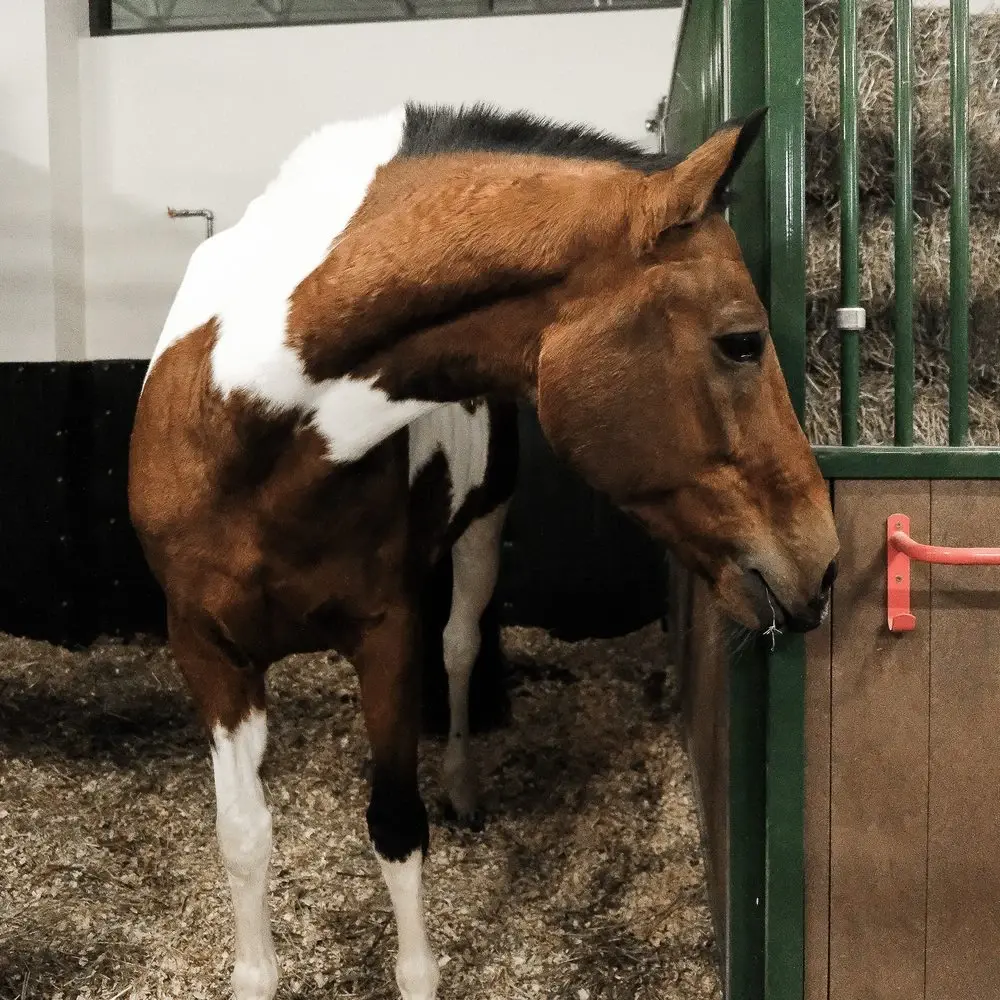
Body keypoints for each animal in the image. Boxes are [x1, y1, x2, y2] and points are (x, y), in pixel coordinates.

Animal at [128, 101, 839, 1000]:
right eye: (742, 341)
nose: (821, 561)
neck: (255, 428)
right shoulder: (206, 649)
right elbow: (243, 834)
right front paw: (254, 975)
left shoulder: (386, 635)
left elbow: (397, 825)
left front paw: (418, 974)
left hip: (478, 537)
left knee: (461, 647)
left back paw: (464, 782)